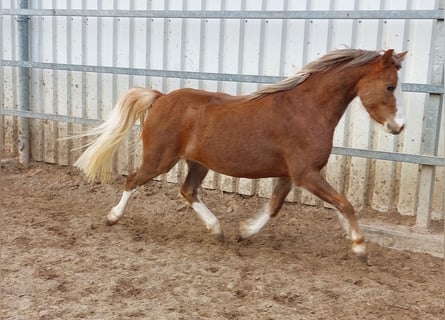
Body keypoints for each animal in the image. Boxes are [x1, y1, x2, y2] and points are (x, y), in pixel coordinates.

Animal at [74, 48, 404, 262]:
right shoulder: (306, 174)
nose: (398, 126)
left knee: (187, 191)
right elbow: (345, 204)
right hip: (159, 159)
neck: (306, 110)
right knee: (132, 180)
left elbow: (275, 207)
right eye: (389, 86)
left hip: (197, 164)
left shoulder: (291, 175)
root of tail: (161, 97)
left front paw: (244, 233)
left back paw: (217, 230)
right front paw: (360, 248)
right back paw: (112, 218)